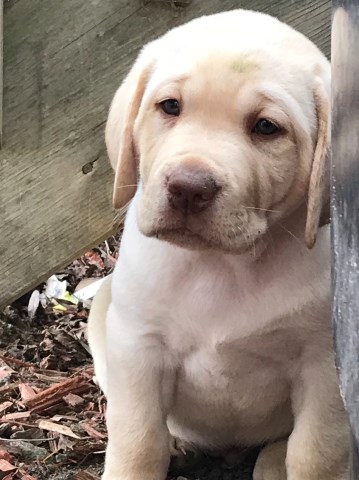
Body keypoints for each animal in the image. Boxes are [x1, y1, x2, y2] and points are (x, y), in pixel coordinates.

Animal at [88, 8, 350, 480]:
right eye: (170, 106)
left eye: (266, 127)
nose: (188, 188)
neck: (222, 267)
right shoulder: (137, 347)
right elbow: (139, 441)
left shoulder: (324, 366)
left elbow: (317, 454)